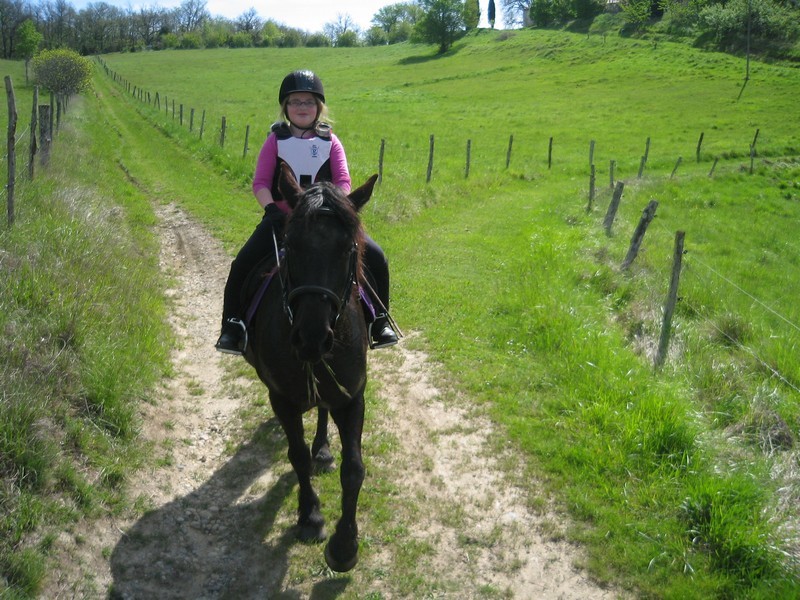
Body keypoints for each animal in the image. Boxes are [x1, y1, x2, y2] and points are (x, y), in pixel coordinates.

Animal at [243, 165, 377, 573]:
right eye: (290, 244)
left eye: (348, 249)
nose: (312, 337)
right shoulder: (281, 399)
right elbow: (297, 455)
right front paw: (310, 517)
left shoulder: (352, 396)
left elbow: (354, 468)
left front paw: (345, 546)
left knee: (321, 411)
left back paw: (324, 450)